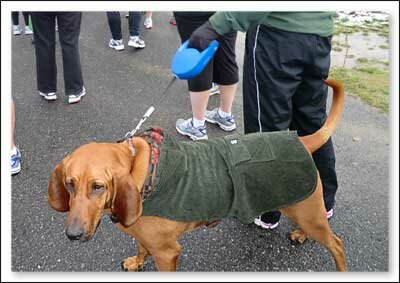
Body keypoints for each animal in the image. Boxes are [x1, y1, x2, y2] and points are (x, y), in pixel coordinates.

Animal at [47, 80, 346, 272]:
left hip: (309, 212)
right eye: (69, 185)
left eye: (98, 186)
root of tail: (302, 140)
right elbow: (141, 247)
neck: (141, 170)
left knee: (337, 244)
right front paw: (137, 262)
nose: (72, 235)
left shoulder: (168, 253)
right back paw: (300, 235)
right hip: (302, 207)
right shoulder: (144, 238)